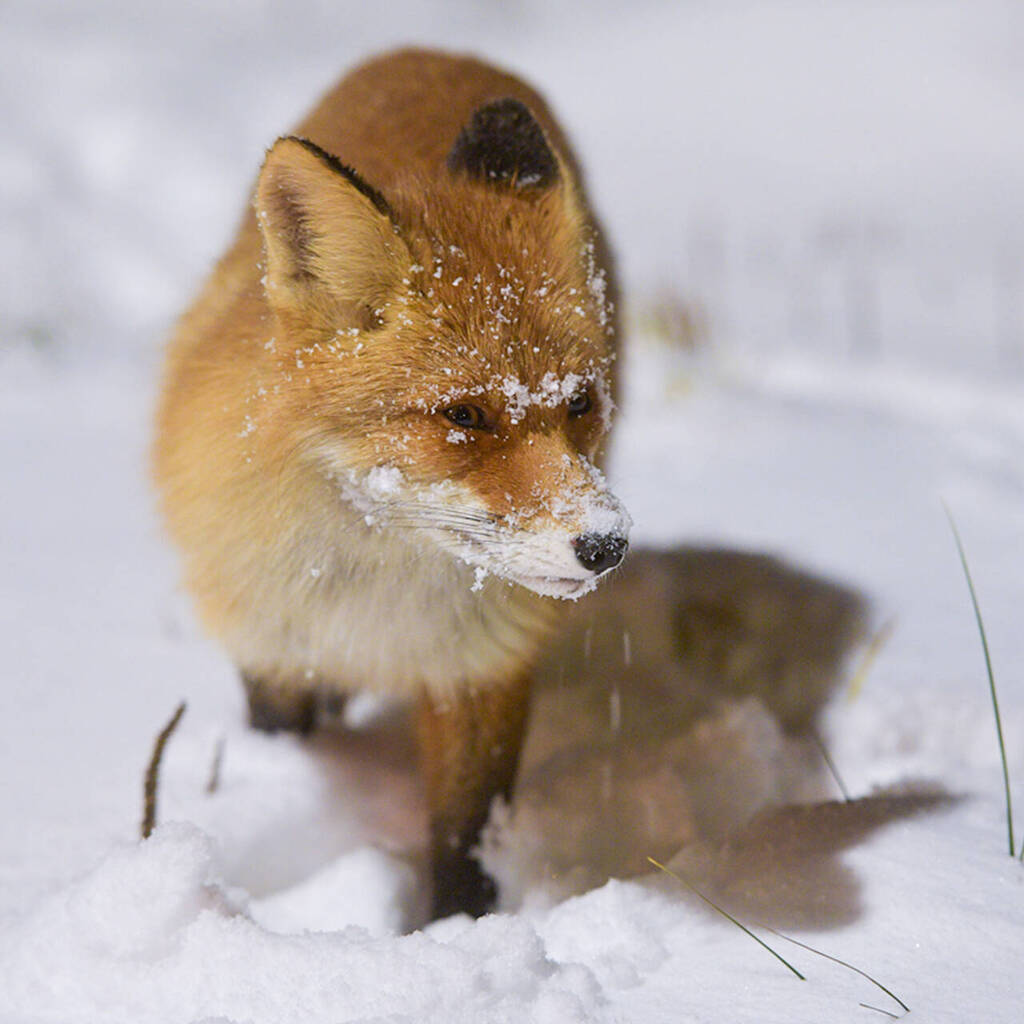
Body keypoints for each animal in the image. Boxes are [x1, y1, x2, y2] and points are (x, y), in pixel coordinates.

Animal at [151, 48, 630, 921]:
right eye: (465, 415)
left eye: (580, 403)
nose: (606, 546)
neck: (375, 593)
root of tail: (439, 52)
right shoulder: (269, 644)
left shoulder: (481, 667)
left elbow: (463, 839)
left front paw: (456, 932)